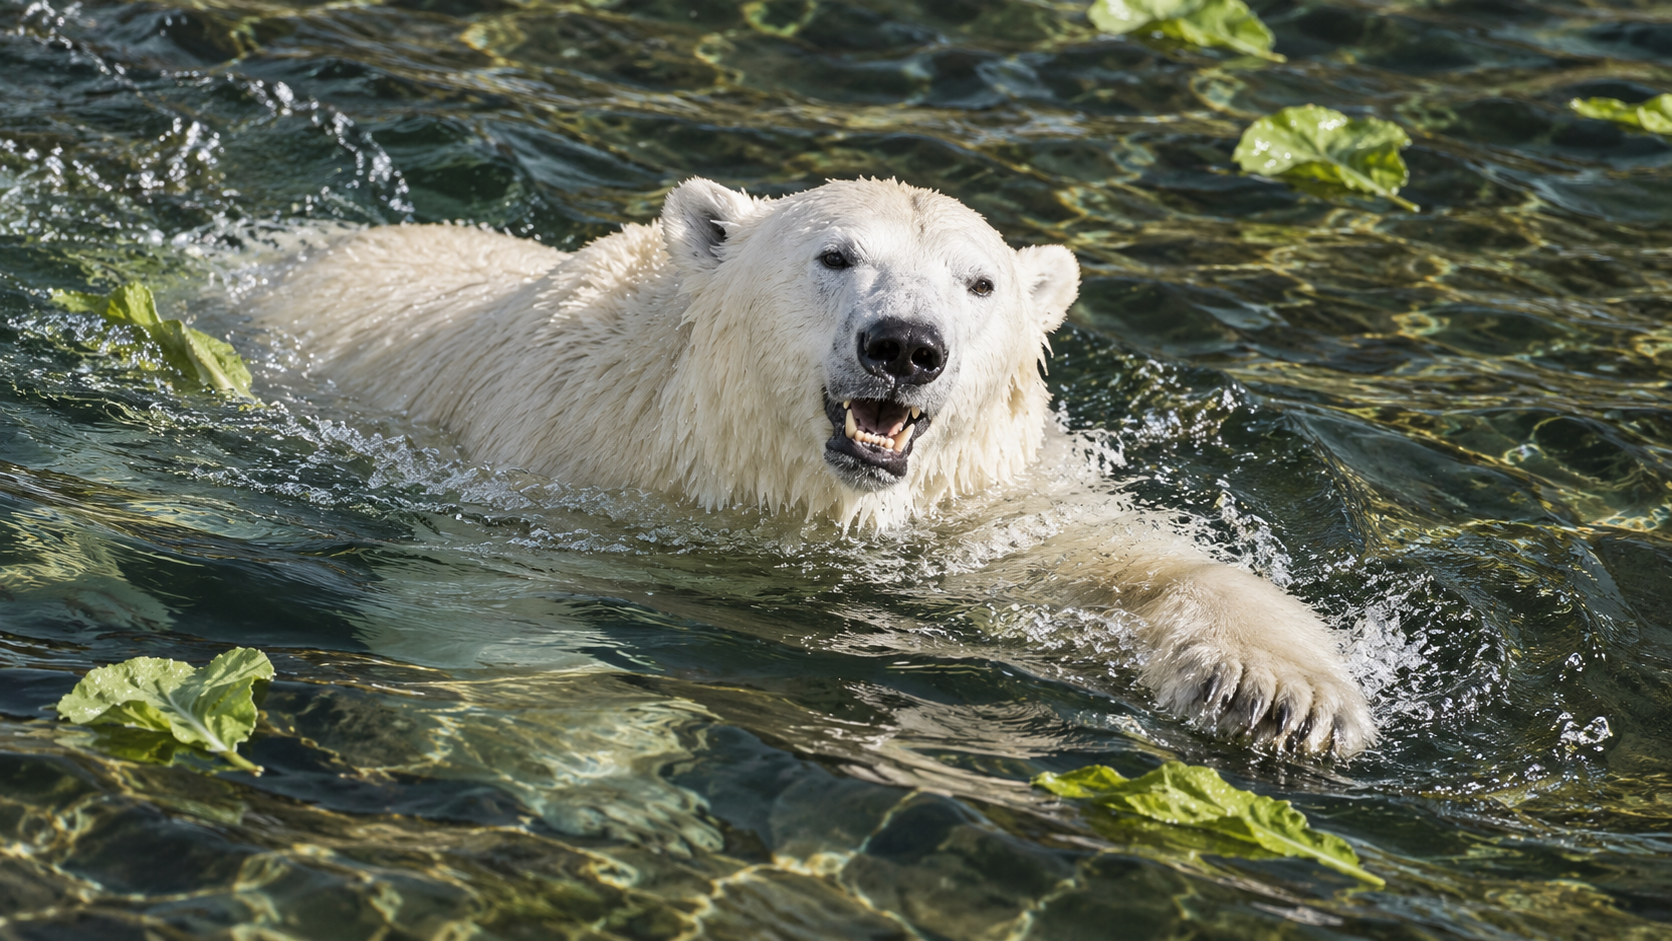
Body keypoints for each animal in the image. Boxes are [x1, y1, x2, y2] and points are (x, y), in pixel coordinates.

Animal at [253, 177, 1376, 757]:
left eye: (980, 282)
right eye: (835, 255)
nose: (906, 345)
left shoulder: (975, 511)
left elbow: (1129, 559)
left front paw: (1279, 693)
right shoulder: (565, 465)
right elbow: (490, 609)